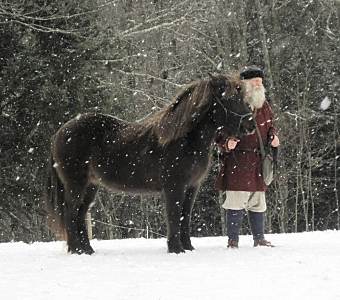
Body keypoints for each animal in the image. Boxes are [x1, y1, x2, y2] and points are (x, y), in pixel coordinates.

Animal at [46, 74, 256, 254]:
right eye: (231, 99)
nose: (250, 125)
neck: (184, 139)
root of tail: (60, 132)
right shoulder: (174, 187)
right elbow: (174, 215)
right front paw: (176, 249)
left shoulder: (191, 187)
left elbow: (185, 217)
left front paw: (188, 247)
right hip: (76, 184)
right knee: (71, 212)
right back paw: (76, 250)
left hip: (90, 186)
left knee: (80, 213)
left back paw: (87, 250)